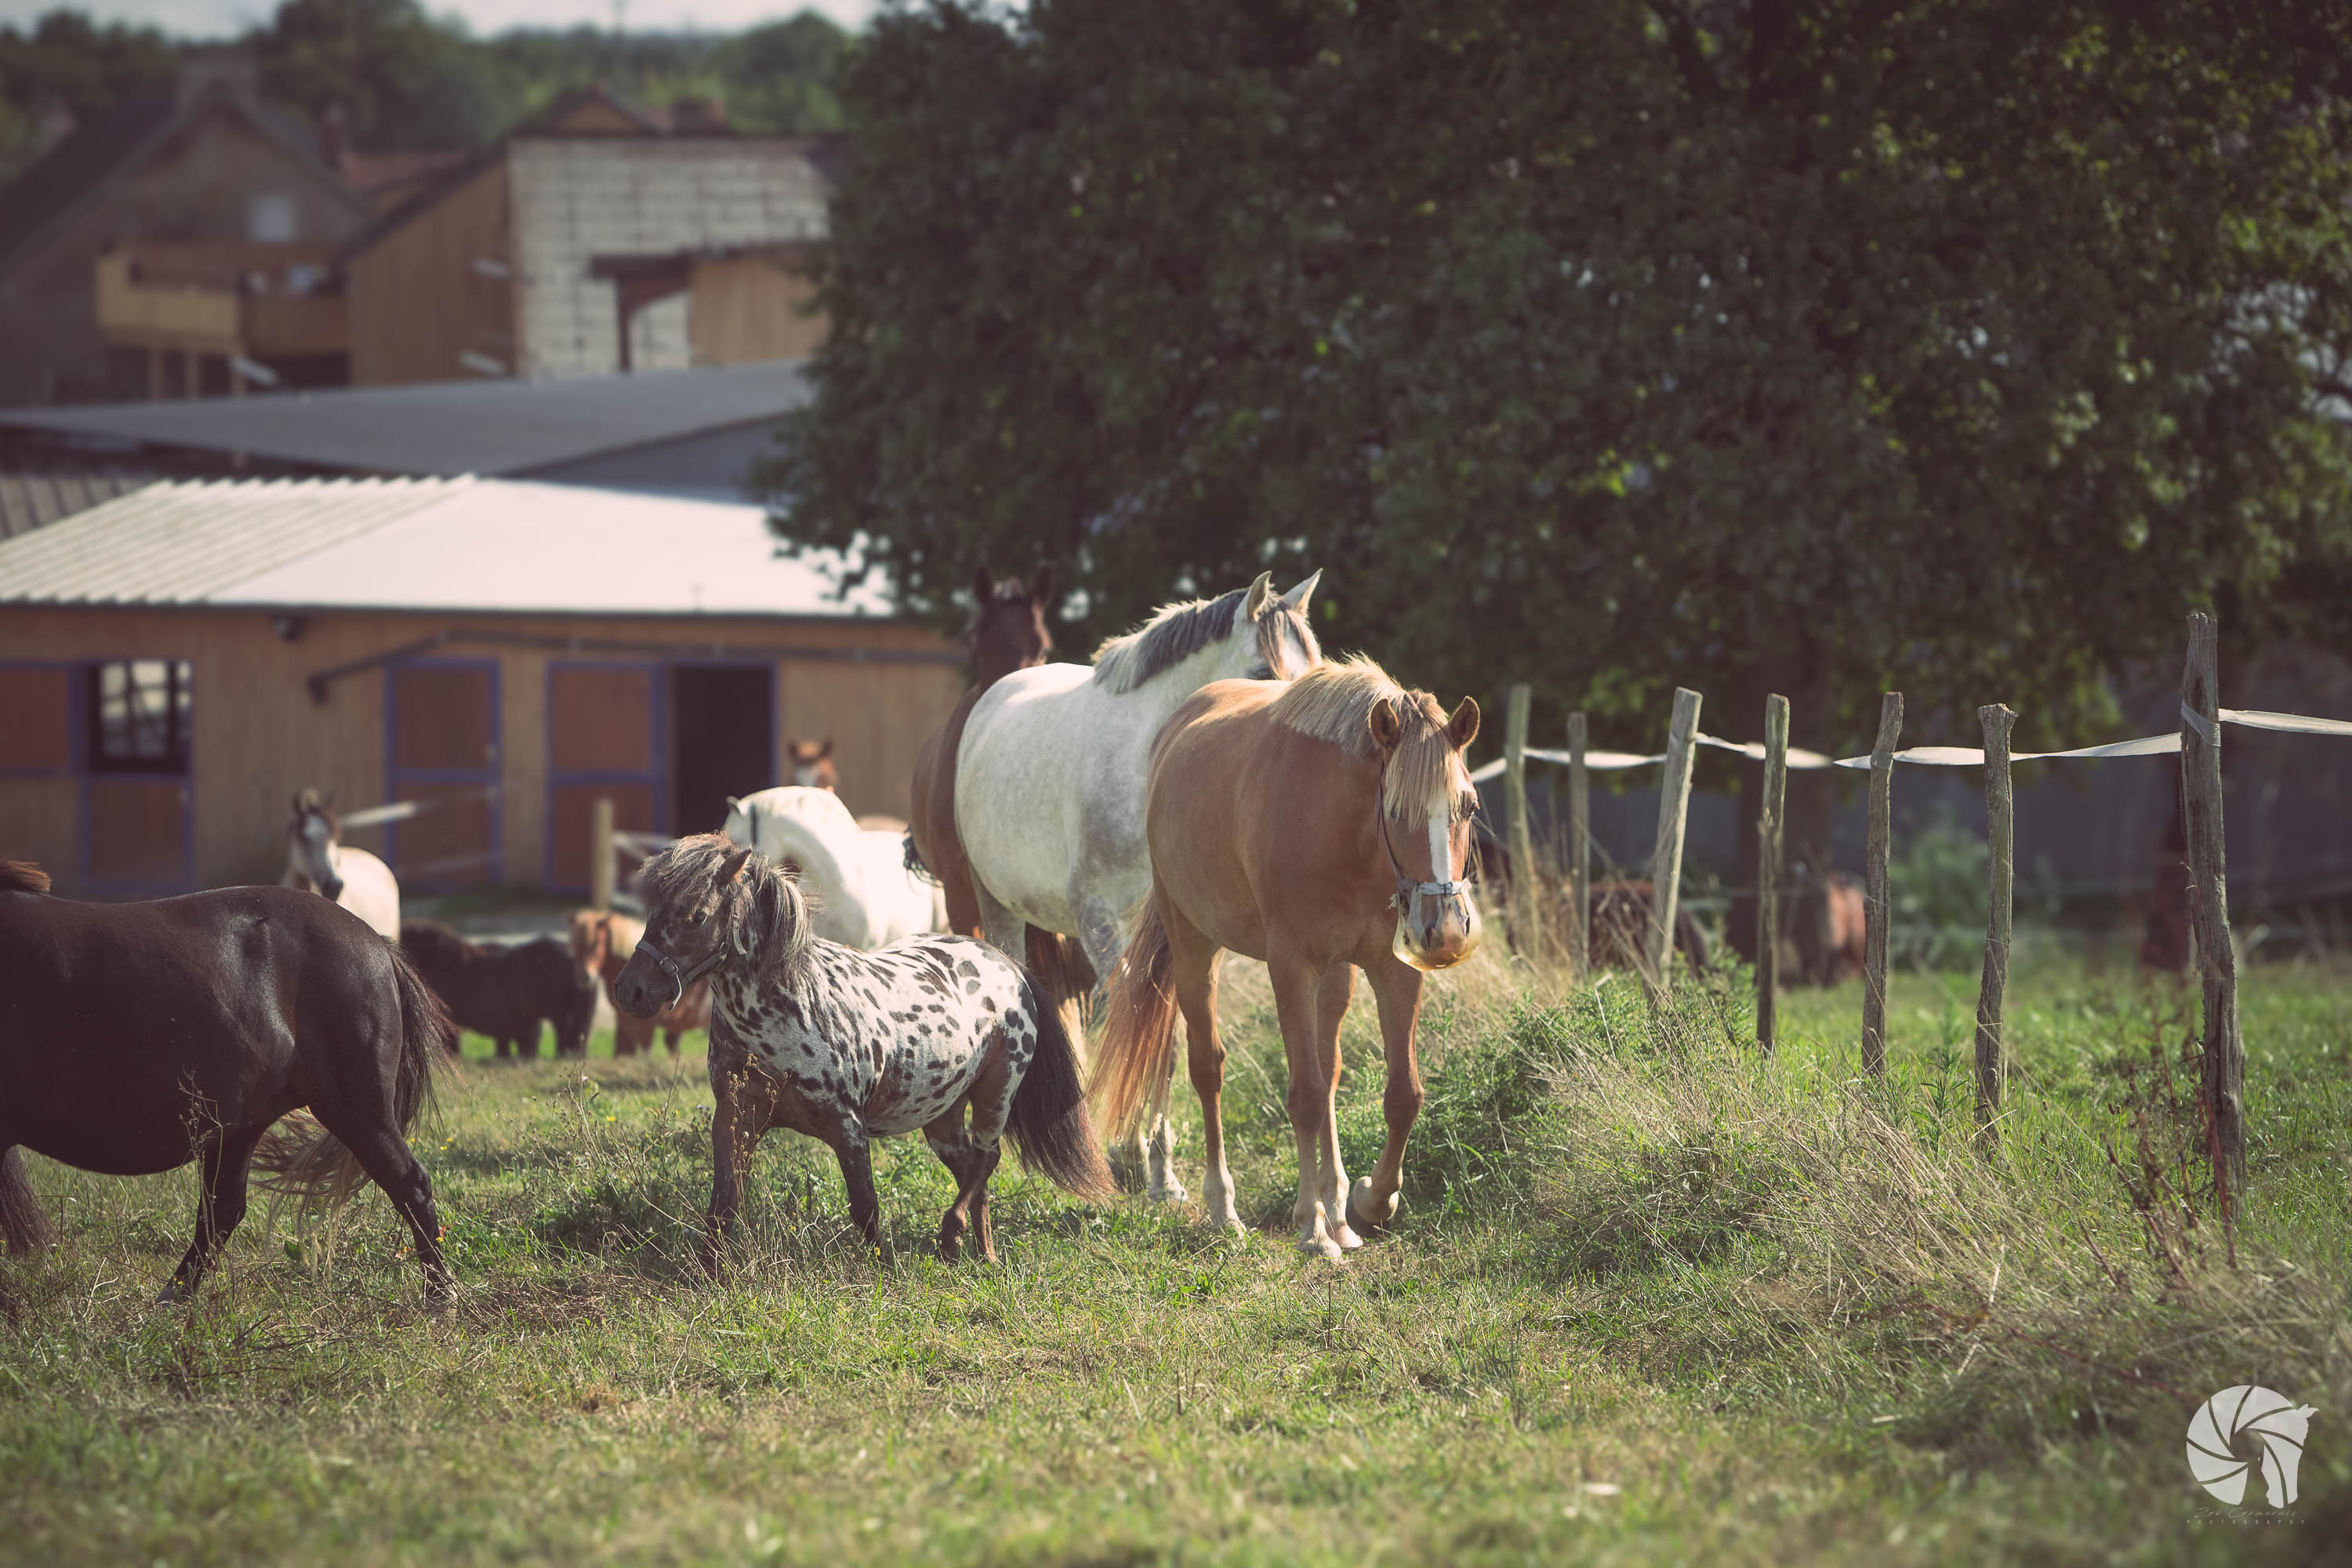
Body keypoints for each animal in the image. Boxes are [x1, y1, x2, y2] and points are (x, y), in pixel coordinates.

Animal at [0, 860, 453, 1304]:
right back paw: (175, 1297)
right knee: (223, 1210)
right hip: (241, 1127)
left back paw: (439, 1294)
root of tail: (378, 945)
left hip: (356, 1112)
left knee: (411, 1185)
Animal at [610, 835, 1114, 1269]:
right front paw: (708, 1273)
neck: (786, 1007)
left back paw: (951, 1237)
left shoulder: (848, 1128)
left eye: (697, 915)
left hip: (997, 1093)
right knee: (974, 1170)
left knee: (986, 1159)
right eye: (654, 909)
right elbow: (723, 1207)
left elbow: (866, 1208)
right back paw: (981, 1255)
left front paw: (884, 1270)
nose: (630, 990)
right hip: (941, 1115)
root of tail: (1008, 965)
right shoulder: (735, 1120)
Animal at [955, 570, 1323, 1201]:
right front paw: (1132, 1153)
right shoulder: (1103, 925)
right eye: (1261, 674)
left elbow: (1165, 1039)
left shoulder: (1187, 939)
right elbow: (1138, 1027)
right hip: (997, 907)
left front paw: (1158, 1171)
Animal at [1092, 657, 1482, 1257]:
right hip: (1194, 950)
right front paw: (1312, 1226)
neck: (1341, 831)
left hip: (1337, 974)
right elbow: (1305, 1095)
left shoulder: (1393, 970)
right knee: (1208, 1069)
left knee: (1329, 1067)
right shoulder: (1291, 968)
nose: (1445, 931)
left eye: (1468, 806)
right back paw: (1224, 1210)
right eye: (1395, 809)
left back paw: (1340, 1211)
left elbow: (1402, 1094)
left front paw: (1370, 1201)